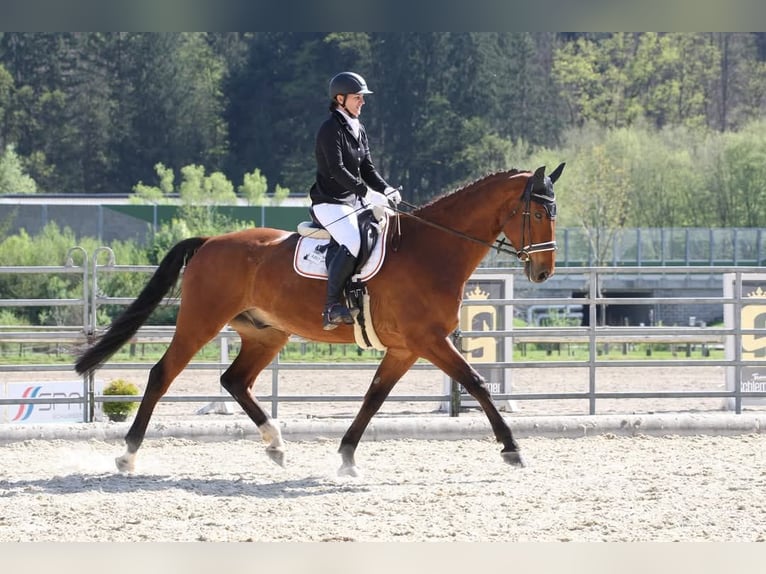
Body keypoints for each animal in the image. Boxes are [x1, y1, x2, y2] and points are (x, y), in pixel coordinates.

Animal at [75, 163, 568, 476]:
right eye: (537, 211)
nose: (544, 272)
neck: (431, 250)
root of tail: (211, 241)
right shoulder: (427, 340)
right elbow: (477, 384)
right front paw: (512, 448)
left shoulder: (405, 347)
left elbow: (374, 397)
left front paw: (347, 456)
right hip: (201, 322)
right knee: (162, 375)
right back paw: (128, 456)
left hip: (267, 334)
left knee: (235, 381)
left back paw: (275, 444)